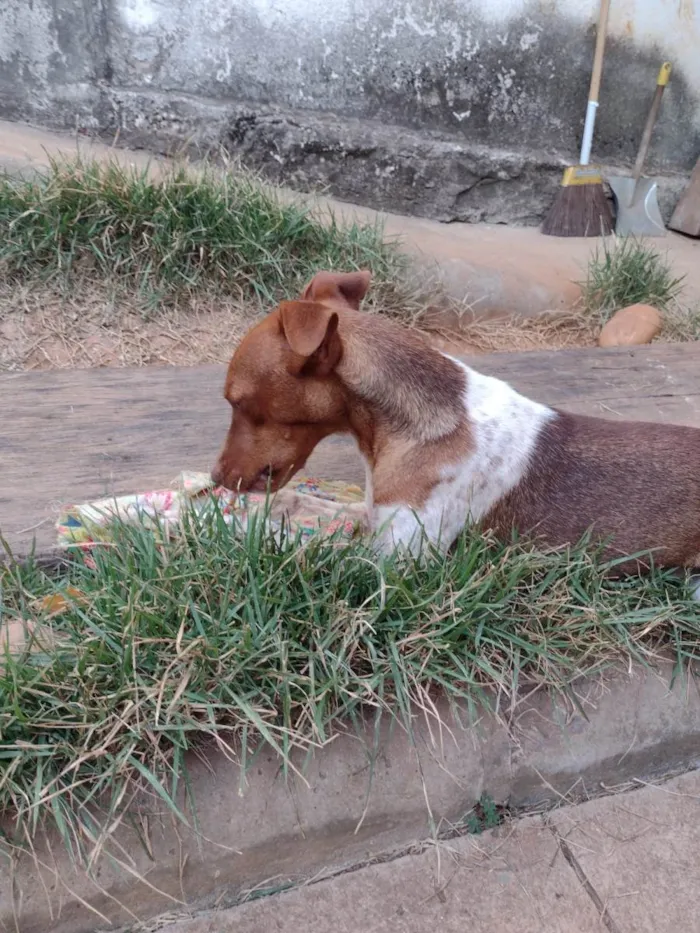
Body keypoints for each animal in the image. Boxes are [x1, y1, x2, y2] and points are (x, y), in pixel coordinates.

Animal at [212, 266, 700, 592]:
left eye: (237, 401)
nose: (216, 477)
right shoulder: (373, 517)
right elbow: (314, 512)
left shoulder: (394, 563)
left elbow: (292, 548)